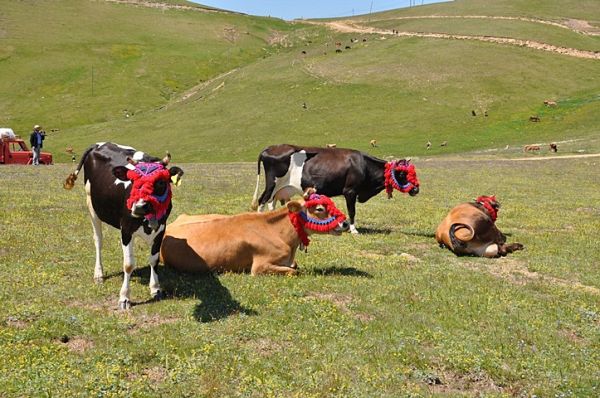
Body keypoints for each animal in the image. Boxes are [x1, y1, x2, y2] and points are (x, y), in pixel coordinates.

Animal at [62, 141, 185, 310]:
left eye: (161, 182)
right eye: (132, 181)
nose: (138, 207)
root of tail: (99, 144)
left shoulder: (161, 229)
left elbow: (154, 260)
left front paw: (155, 289)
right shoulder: (126, 230)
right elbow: (128, 265)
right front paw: (124, 298)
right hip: (91, 205)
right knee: (98, 240)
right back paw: (98, 274)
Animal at [248, 145, 418, 233]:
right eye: (402, 173)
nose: (416, 190)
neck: (363, 165)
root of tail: (269, 149)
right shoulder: (350, 191)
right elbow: (352, 211)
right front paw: (353, 229)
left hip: (280, 189)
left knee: (271, 203)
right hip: (272, 184)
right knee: (262, 200)